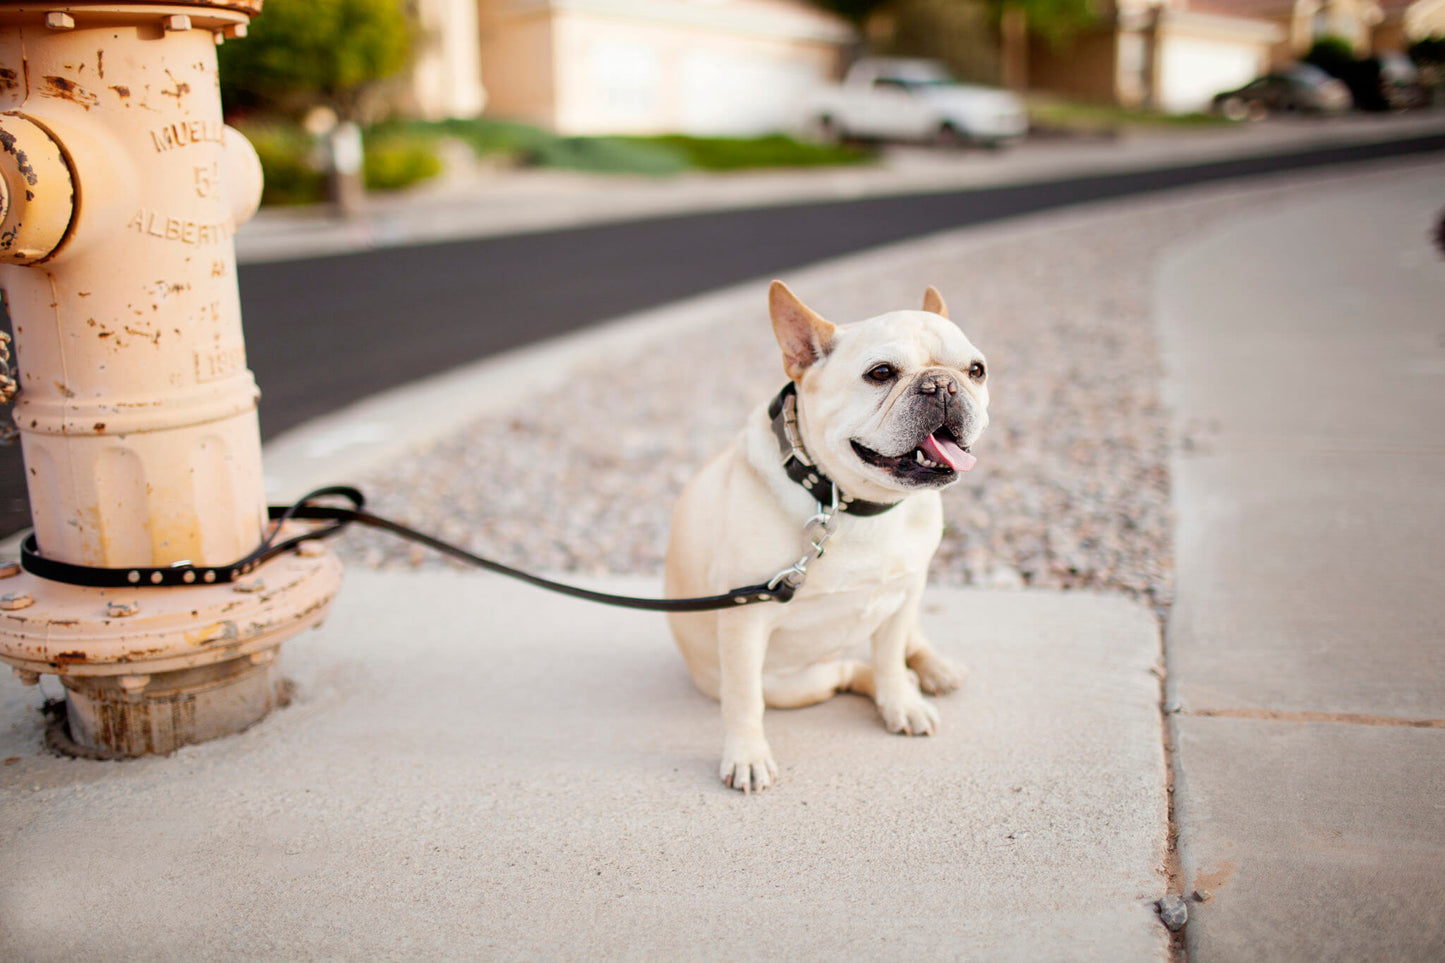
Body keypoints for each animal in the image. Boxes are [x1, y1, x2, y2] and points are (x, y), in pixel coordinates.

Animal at [661, 277, 988, 786]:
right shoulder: (744, 621)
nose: (943, 385)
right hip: (798, 684)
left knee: (904, 644)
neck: (850, 502)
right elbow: (744, 700)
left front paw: (902, 700)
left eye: (976, 371)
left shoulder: (905, 592)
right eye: (880, 373)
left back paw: (930, 671)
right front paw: (746, 754)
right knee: (845, 672)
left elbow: (890, 655)